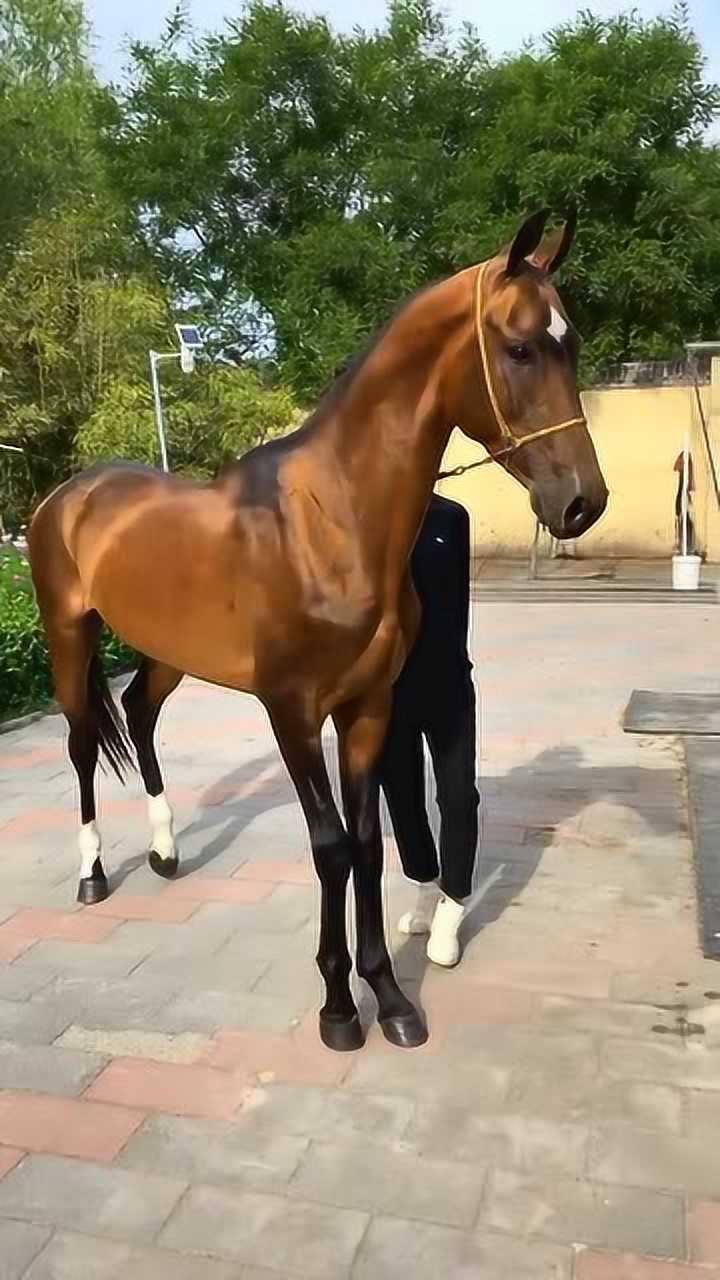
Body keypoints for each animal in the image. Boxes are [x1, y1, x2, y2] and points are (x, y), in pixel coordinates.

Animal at [28, 210, 608, 1051]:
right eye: (522, 346)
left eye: (575, 343)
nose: (582, 502)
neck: (331, 519)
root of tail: (66, 495)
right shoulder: (292, 711)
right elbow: (331, 847)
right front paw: (339, 1007)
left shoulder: (367, 708)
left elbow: (367, 843)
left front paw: (390, 998)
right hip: (68, 637)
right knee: (79, 745)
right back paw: (93, 875)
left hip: (166, 649)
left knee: (138, 713)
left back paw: (167, 851)